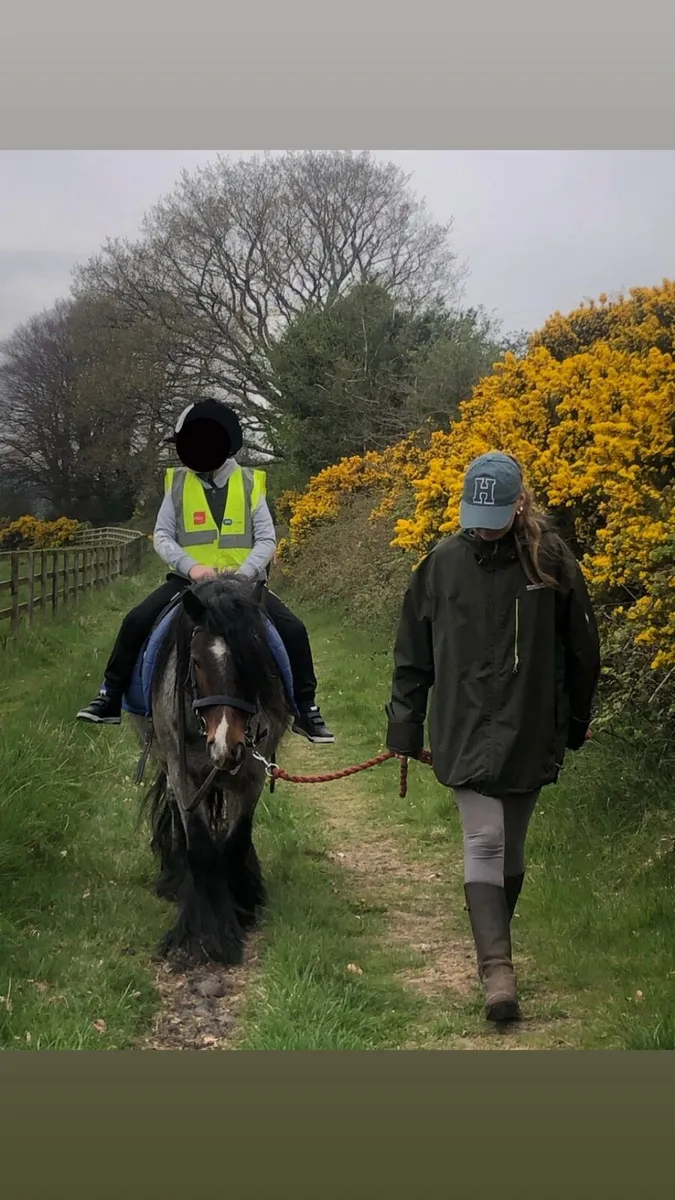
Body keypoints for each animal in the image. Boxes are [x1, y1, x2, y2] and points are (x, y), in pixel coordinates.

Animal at [134, 573, 293, 967]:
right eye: (197, 661)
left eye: (252, 655)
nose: (226, 746)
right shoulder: (183, 774)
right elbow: (202, 849)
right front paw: (204, 935)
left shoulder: (251, 775)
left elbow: (235, 844)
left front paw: (242, 908)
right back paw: (175, 879)